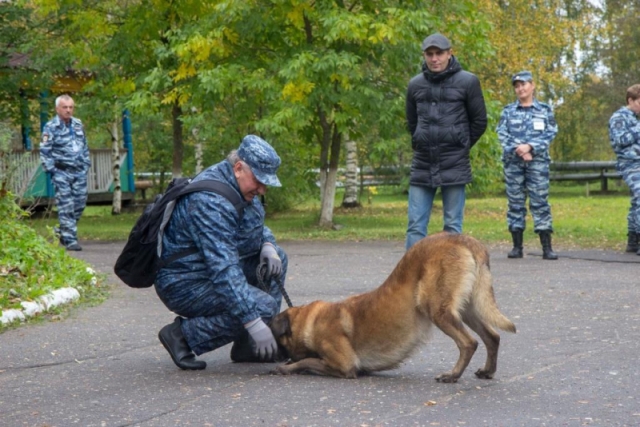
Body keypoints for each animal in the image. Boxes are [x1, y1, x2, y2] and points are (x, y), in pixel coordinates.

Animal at [268, 232, 516, 382]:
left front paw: (286, 367)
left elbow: (308, 361)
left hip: (436, 308)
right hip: (466, 308)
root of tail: (463, 239)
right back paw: (487, 371)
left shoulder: (344, 364)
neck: (311, 319)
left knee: (469, 342)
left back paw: (452, 375)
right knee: (492, 336)